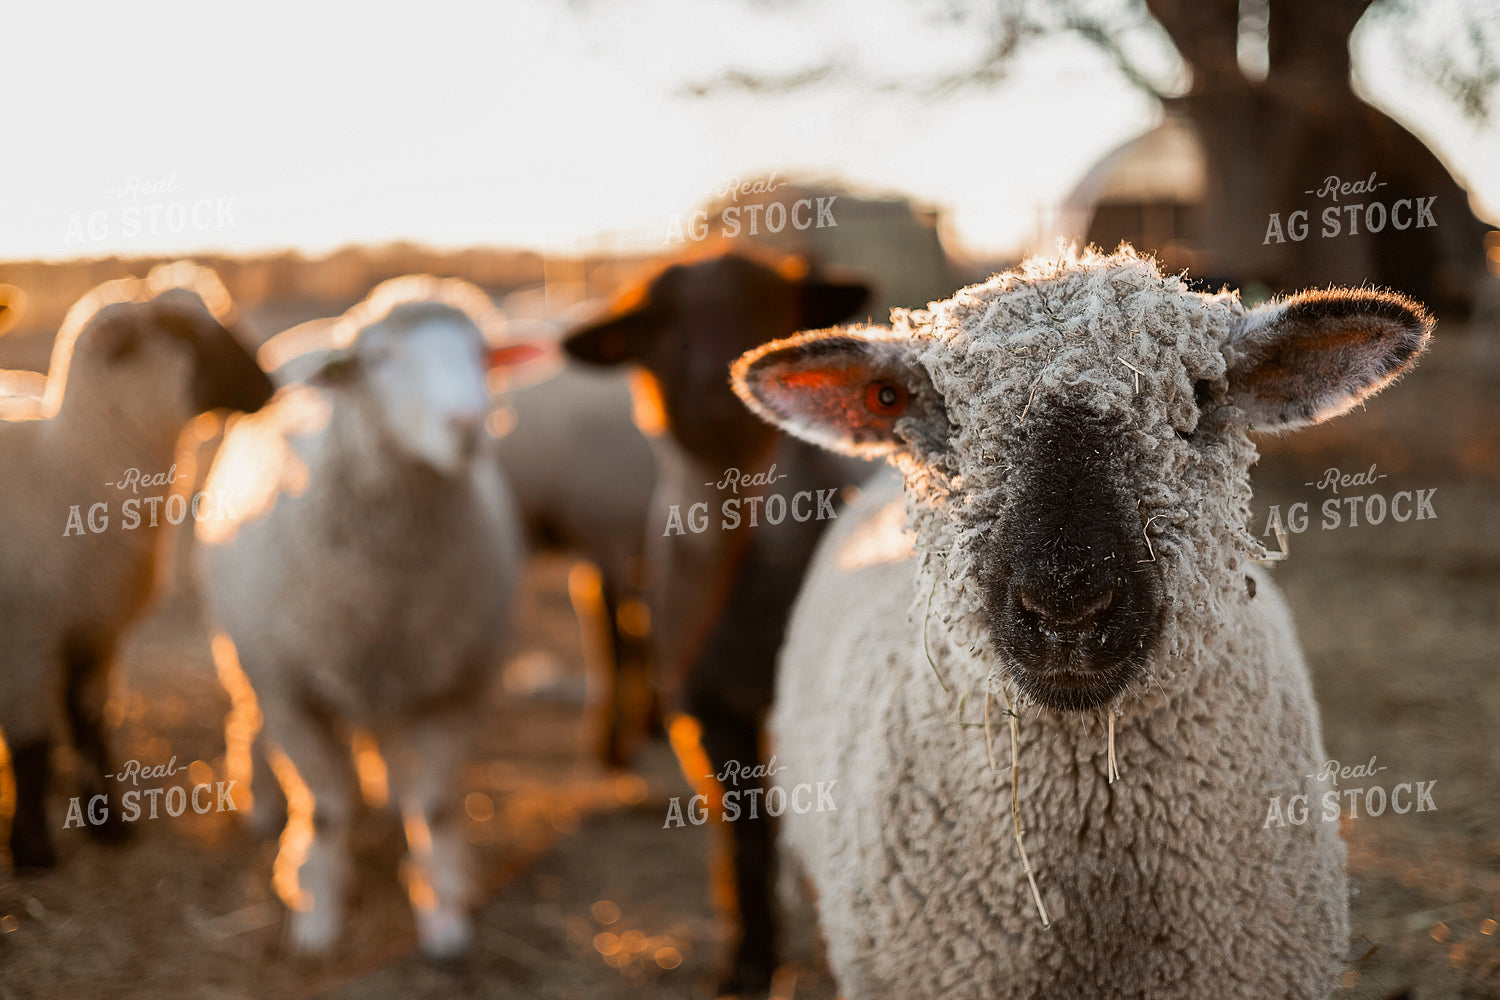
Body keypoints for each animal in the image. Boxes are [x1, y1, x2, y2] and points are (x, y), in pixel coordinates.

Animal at [0, 262, 274, 870]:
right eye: (180, 332)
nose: (268, 387)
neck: (66, 468)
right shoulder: (25, 638)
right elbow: (32, 746)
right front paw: (34, 850)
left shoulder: (96, 631)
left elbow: (91, 728)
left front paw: (109, 825)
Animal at [195, 275, 537, 960]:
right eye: (380, 360)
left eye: (482, 355)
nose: (469, 425)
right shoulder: (290, 688)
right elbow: (328, 808)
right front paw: (317, 911)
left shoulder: (459, 684)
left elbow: (436, 806)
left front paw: (444, 909)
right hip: (244, 648)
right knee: (251, 721)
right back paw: (264, 804)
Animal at [561, 245, 873, 993]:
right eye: (658, 325)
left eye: (767, 309)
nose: (713, 390)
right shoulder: (703, 704)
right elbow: (744, 838)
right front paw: (749, 962)